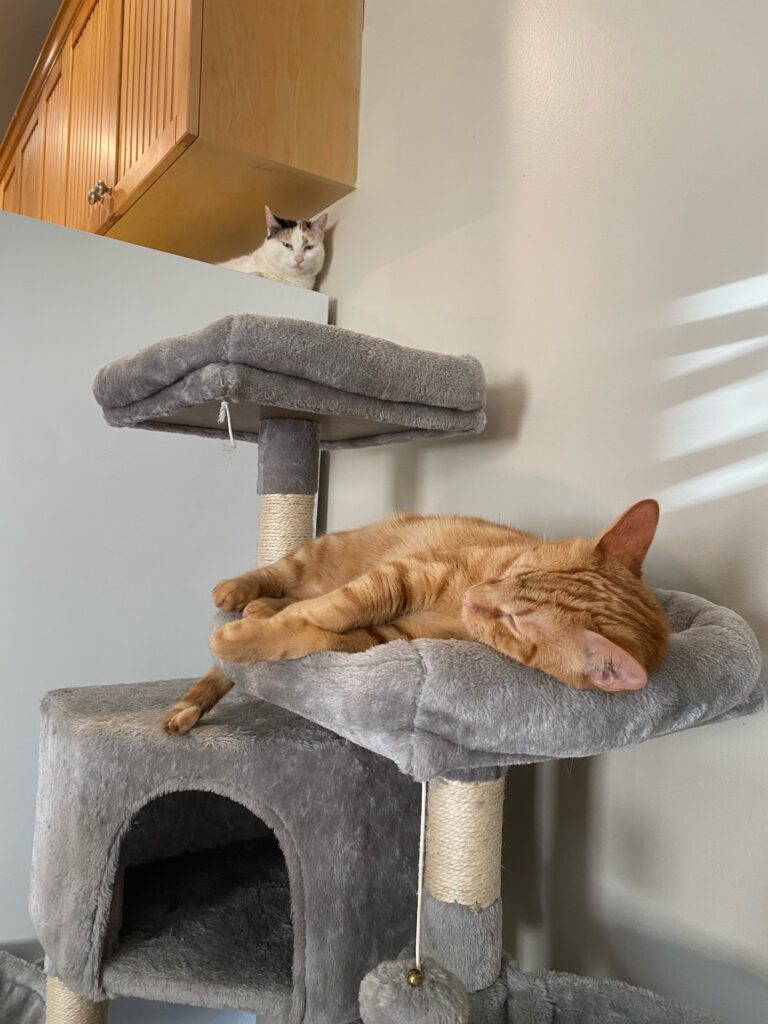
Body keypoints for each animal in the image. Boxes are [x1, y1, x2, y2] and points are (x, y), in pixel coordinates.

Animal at [165, 497, 671, 733]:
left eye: (515, 622)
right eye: (517, 570)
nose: (474, 597)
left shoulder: (382, 635)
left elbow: (313, 632)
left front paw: (254, 636)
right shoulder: (413, 573)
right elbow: (338, 604)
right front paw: (252, 629)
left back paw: (261, 610)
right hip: (319, 553)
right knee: (281, 575)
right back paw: (241, 592)